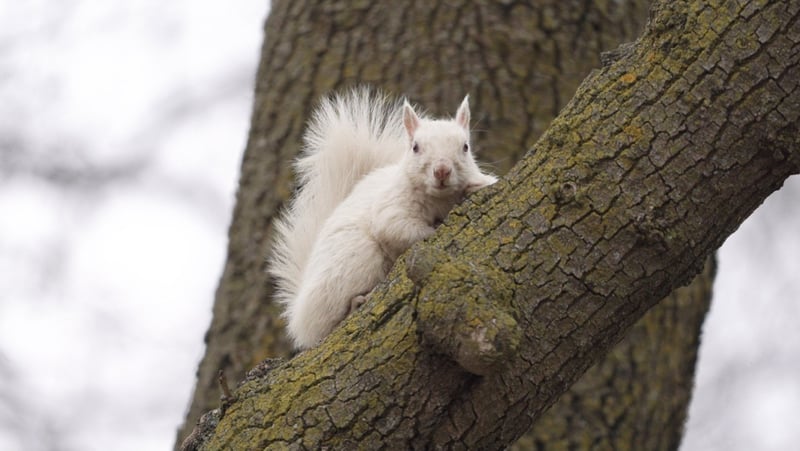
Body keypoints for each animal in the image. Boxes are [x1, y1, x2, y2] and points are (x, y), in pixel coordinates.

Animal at [270, 89, 494, 350]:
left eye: (466, 147)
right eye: (415, 147)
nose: (442, 171)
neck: (440, 199)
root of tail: (299, 310)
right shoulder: (390, 208)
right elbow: (397, 229)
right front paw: (433, 229)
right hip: (356, 260)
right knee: (324, 325)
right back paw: (353, 304)